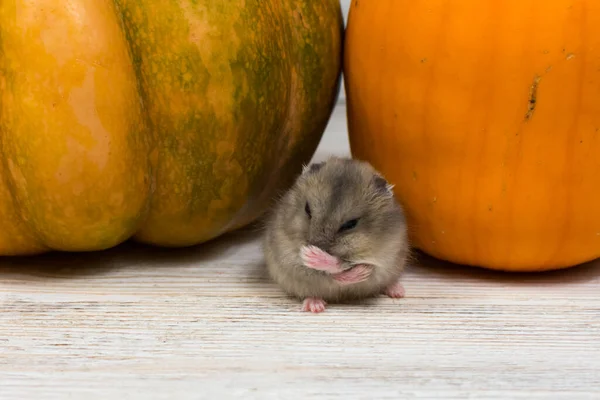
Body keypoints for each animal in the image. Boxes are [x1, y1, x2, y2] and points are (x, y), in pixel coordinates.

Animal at [264, 156, 410, 312]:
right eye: (307, 210)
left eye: (350, 224)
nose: (313, 246)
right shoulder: (288, 258)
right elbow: (324, 271)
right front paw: (308, 254)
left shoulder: (385, 258)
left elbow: (355, 266)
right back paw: (315, 306)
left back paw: (398, 292)